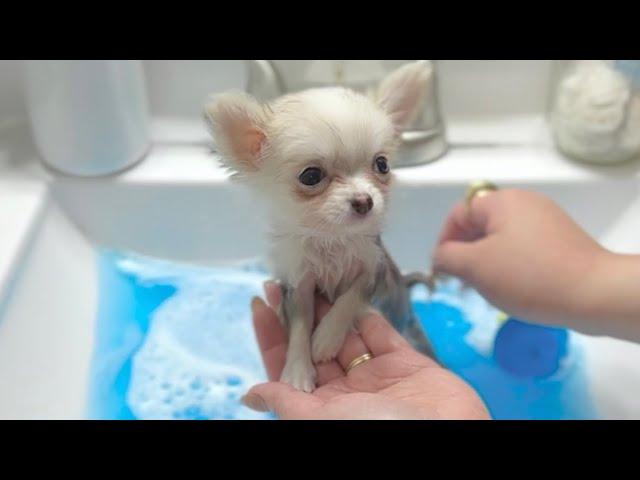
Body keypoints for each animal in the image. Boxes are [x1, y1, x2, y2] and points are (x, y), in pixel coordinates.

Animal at [208, 61, 438, 390]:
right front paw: (297, 370)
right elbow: (299, 326)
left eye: (382, 164)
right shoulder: (299, 285)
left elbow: (350, 298)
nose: (364, 201)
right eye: (311, 176)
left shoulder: (374, 268)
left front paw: (326, 339)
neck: (332, 239)